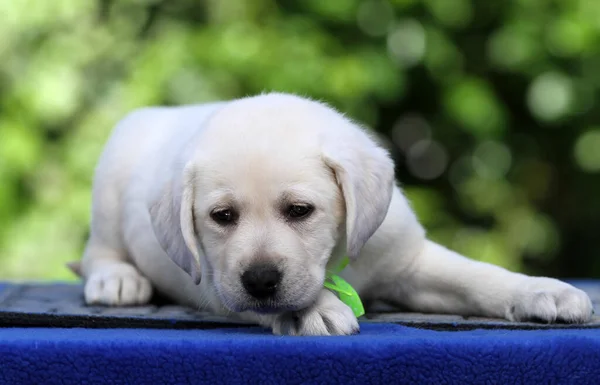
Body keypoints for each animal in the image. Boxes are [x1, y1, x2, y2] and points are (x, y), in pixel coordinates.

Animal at [79, 91, 592, 334]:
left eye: (300, 210)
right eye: (221, 216)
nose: (260, 280)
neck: (337, 263)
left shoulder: (407, 260)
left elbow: (476, 275)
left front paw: (542, 291)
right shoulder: (215, 284)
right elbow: (261, 302)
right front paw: (315, 310)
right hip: (109, 179)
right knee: (98, 249)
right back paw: (116, 279)